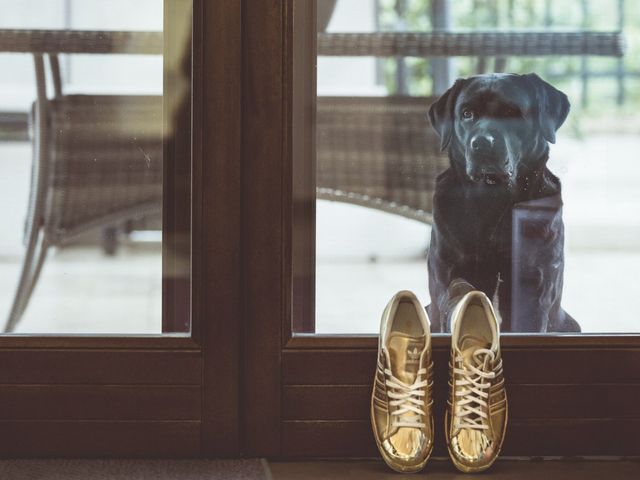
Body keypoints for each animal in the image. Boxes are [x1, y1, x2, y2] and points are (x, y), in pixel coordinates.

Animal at [424, 72, 580, 334]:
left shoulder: (535, 282)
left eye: (511, 112)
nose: (481, 143)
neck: (493, 201)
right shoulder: (448, 271)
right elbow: (460, 295)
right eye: (467, 113)